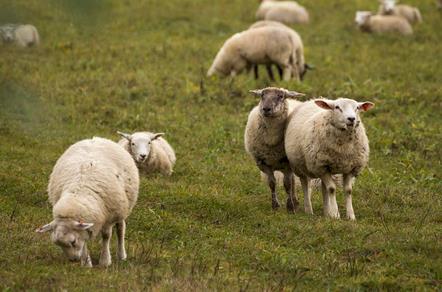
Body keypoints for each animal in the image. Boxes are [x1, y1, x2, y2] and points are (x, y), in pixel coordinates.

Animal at [36, 137, 140, 266]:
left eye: (73, 241)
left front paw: (105, 261)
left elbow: (106, 236)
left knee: (120, 229)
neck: (79, 193)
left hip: (122, 208)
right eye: (58, 244)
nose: (73, 260)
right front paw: (86, 263)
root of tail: (96, 138)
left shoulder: (109, 215)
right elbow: (84, 241)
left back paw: (121, 256)